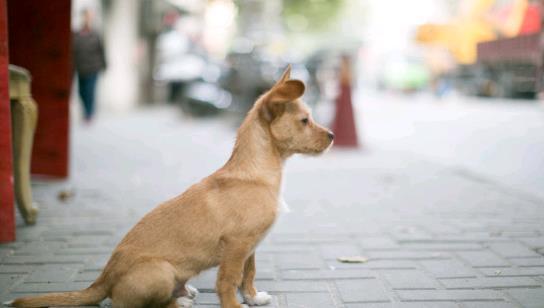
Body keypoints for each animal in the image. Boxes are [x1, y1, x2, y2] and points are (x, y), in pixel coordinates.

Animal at [6, 65, 334, 308]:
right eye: (305, 120)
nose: (332, 136)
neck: (256, 172)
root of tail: (102, 280)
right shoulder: (237, 246)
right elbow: (228, 282)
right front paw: (236, 304)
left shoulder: (250, 246)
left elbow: (248, 275)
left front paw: (254, 298)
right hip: (160, 271)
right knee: (138, 305)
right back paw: (179, 301)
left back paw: (186, 293)